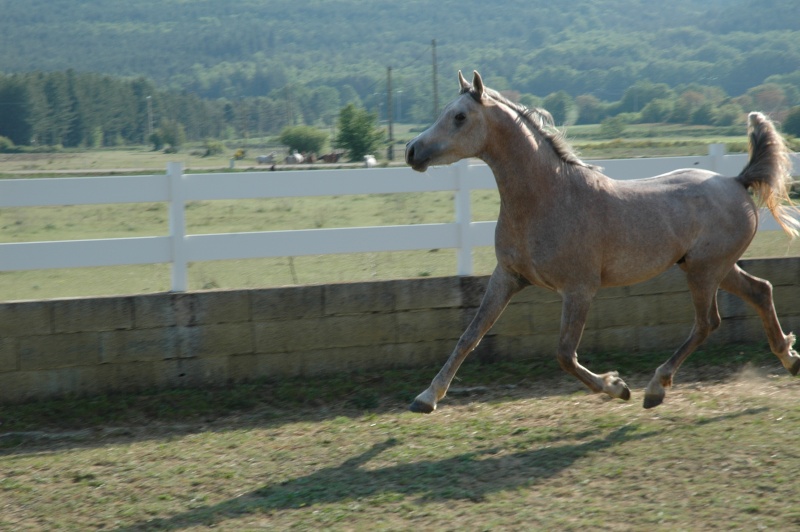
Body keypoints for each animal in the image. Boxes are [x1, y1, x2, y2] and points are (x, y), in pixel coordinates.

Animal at [406, 69, 800, 412]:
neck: (549, 197)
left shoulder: (579, 289)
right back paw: (789, 358)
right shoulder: (507, 276)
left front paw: (617, 386)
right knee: (760, 290)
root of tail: (737, 181)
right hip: (714, 267)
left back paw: (655, 388)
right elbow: (469, 336)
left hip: (704, 271)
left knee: (707, 323)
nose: (412, 150)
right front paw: (426, 398)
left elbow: (565, 354)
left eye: (459, 116)